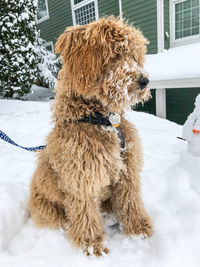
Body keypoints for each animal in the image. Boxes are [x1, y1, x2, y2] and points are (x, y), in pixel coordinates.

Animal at [28, 16, 152, 258]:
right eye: (115, 54)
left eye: (134, 55)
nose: (144, 81)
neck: (100, 119)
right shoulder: (81, 178)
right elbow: (85, 213)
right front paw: (92, 245)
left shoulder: (127, 169)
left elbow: (131, 199)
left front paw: (139, 228)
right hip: (49, 210)